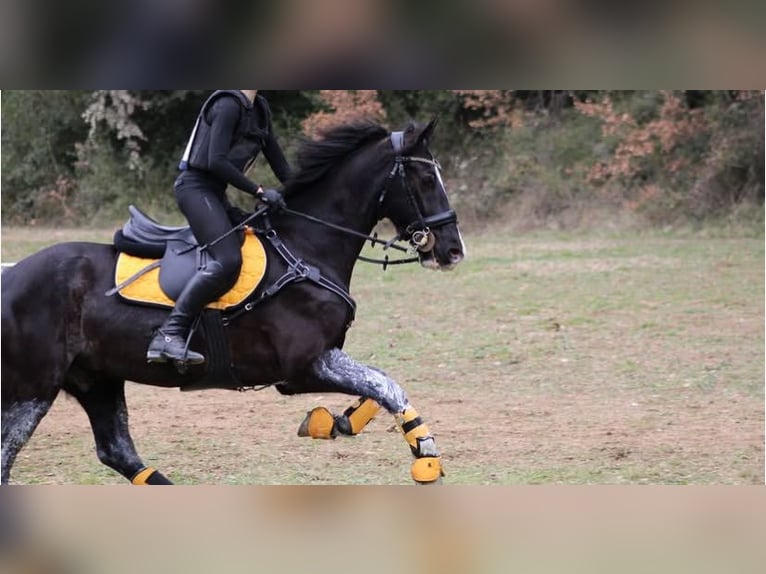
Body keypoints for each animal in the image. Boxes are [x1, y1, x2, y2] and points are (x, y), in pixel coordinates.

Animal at [1, 119, 465, 485]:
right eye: (427, 181)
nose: (453, 250)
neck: (307, 248)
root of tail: (11, 275)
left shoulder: (325, 357)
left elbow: (376, 383)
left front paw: (337, 422)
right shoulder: (303, 366)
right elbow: (387, 385)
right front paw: (426, 456)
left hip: (96, 379)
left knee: (117, 451)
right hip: (33, 388)